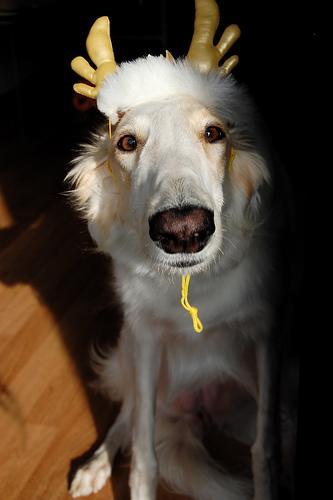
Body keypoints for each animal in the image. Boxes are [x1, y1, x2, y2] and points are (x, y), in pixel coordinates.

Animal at [67, 41, 294, 500]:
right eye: (127, 142)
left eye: (214, 133)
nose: (184, 232)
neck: (192, 285)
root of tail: (197, 406)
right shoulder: (146, 337)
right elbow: (143, 455)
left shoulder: (269, 335)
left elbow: (264, 450)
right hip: (132, 354)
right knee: (129, 415)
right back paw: (95, 466)